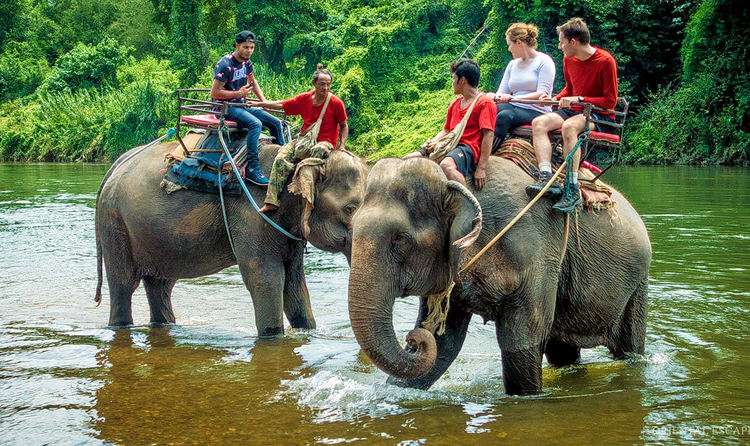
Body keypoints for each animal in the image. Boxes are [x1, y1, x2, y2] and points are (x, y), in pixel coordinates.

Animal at [94, 140, 368, 337]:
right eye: (351, 209)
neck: (294, 160)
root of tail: (116, 165)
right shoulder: (253, 215)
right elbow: (265, 278)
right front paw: (273, 336)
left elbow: (295, 284)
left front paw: (306, 330)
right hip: (115, 223)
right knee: (123, 285)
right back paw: (121, 325)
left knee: (160, 285)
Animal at [347, 156, 651, 395]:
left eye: (400, 239)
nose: (412, 339)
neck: (456, 182)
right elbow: (444, 344)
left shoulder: (536, 254)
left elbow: (521, 341)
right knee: (562, 352)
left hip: (637, 283)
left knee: (628, 347)